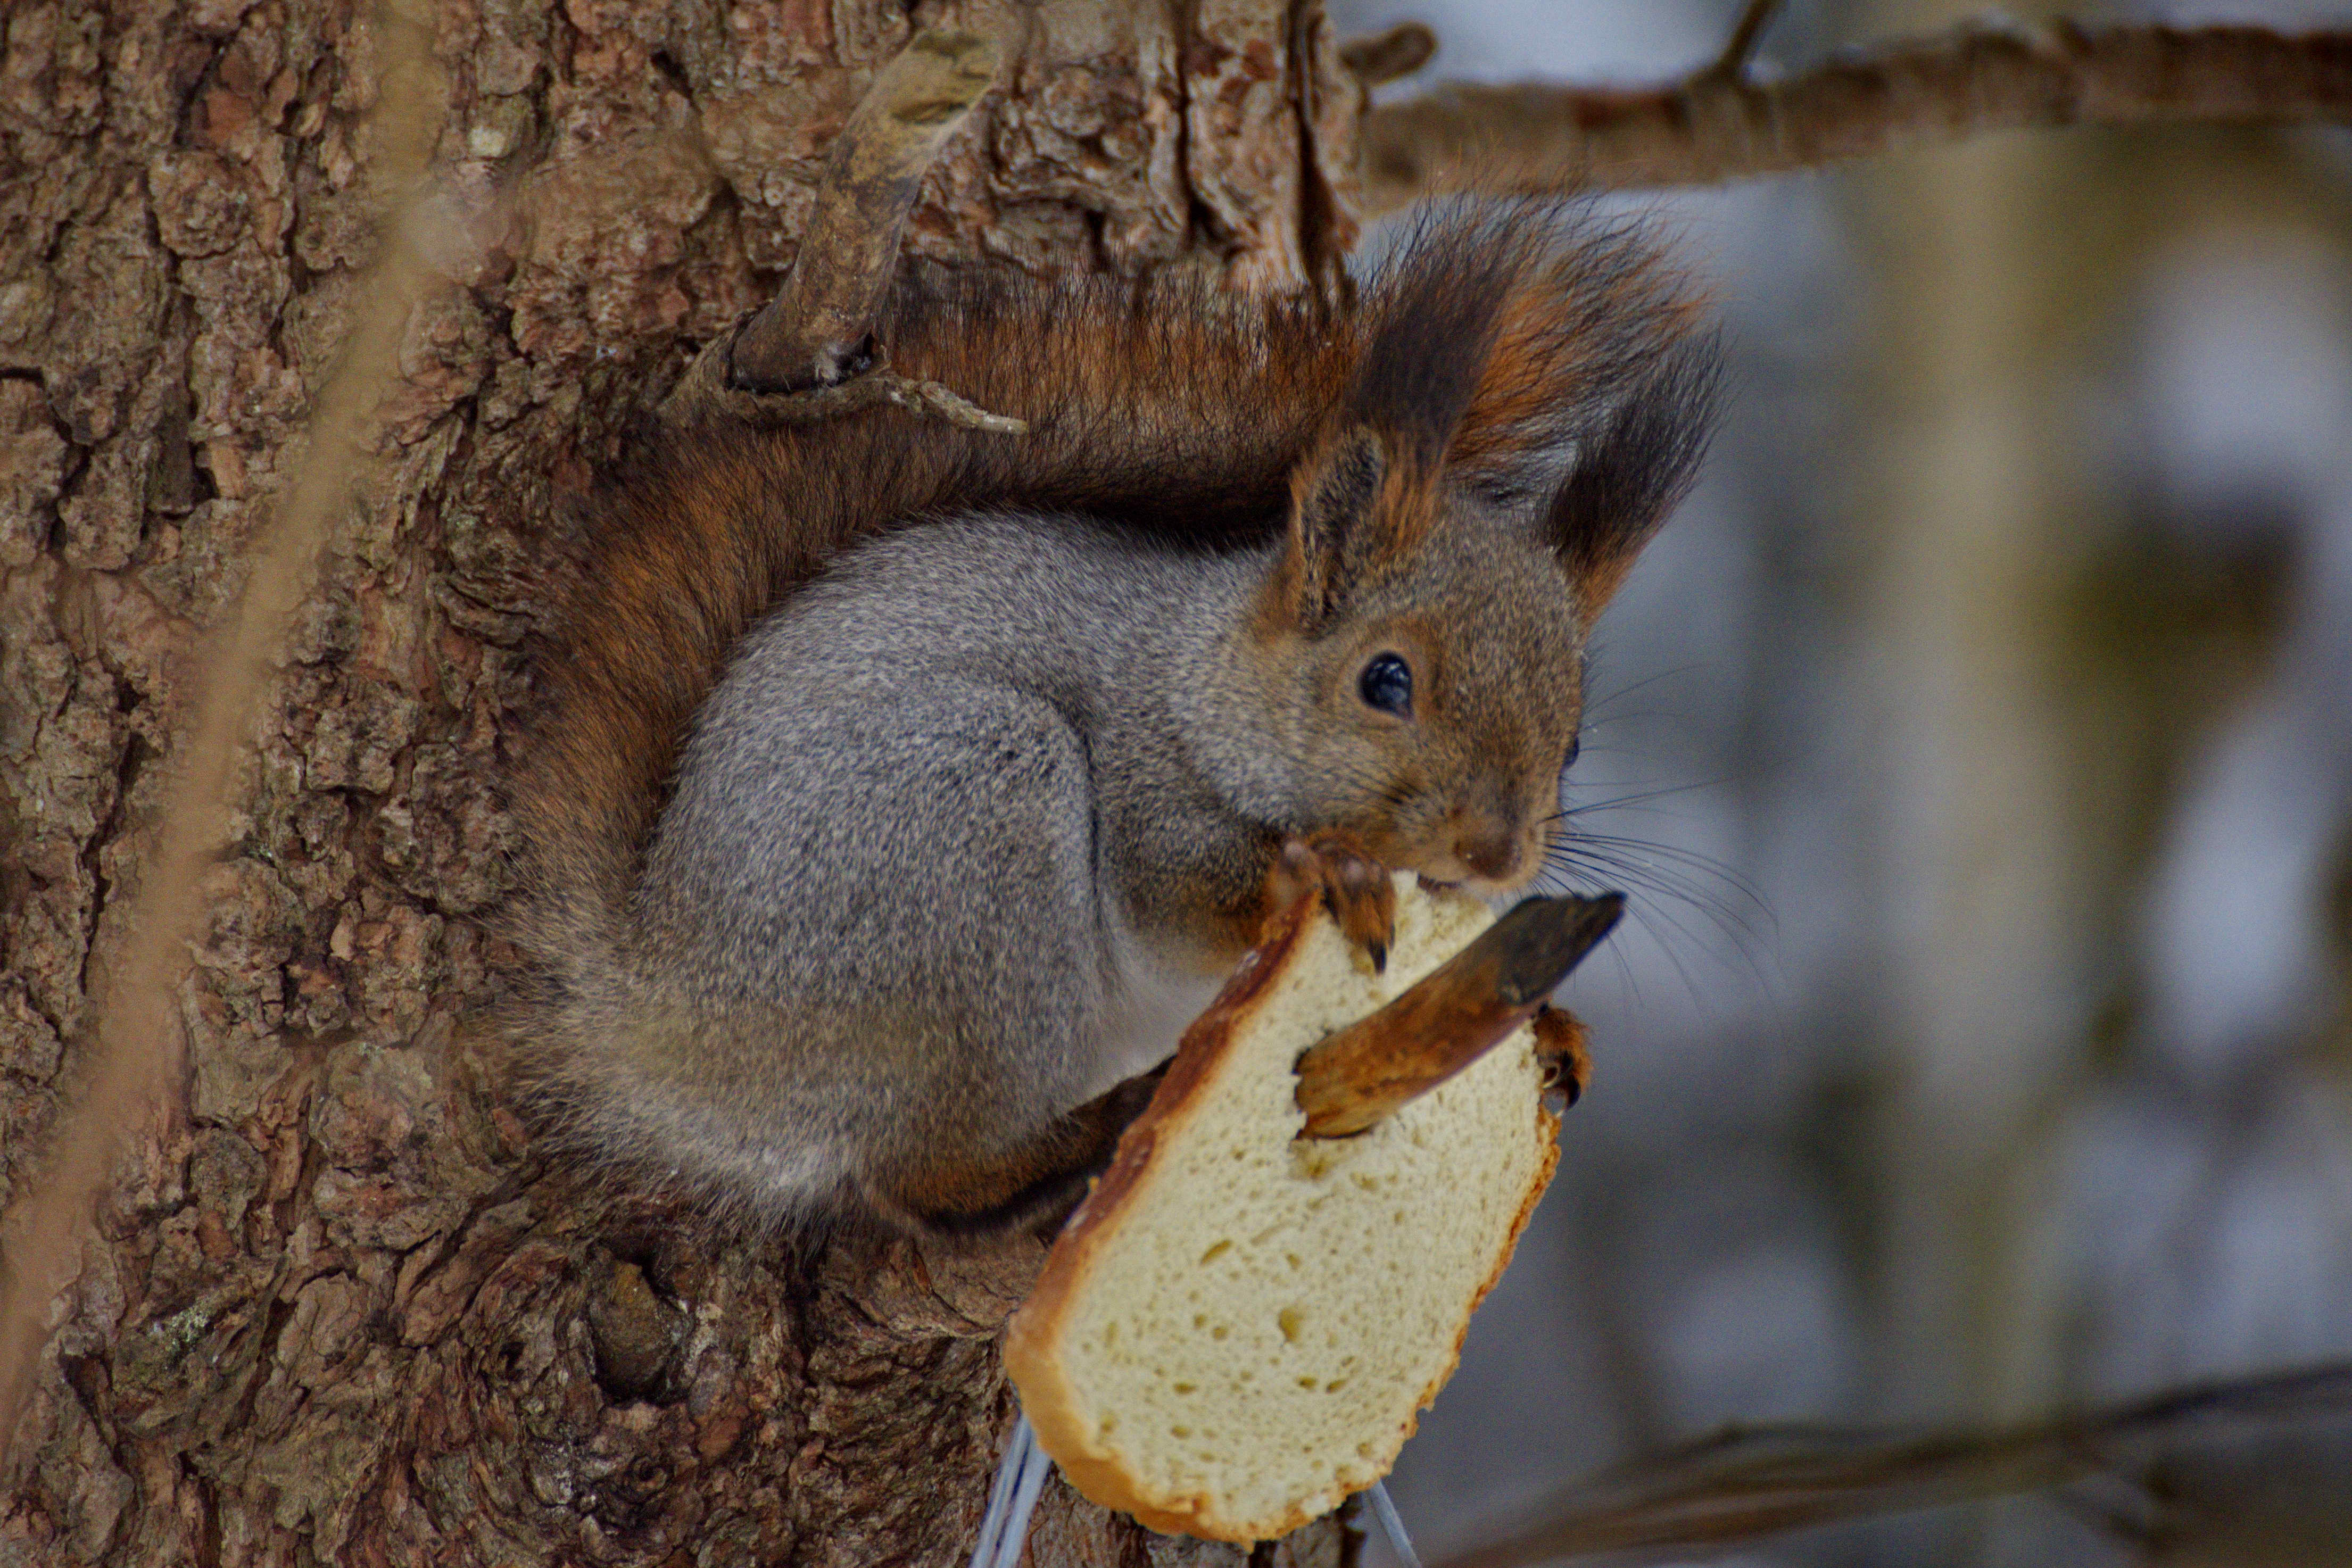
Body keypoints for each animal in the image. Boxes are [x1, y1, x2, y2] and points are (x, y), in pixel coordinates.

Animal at [510, 205, 1712, 1241]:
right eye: (1384, 681)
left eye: (1571, 739)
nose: (1498, 853)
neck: (1202, 688)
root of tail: (666, 1015)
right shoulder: (1146, 782)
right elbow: (1174, 903)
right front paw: (1310, 877)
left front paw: (1552, 1029)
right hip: (959, 837)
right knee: (916, 1175)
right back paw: (1066, 1143)